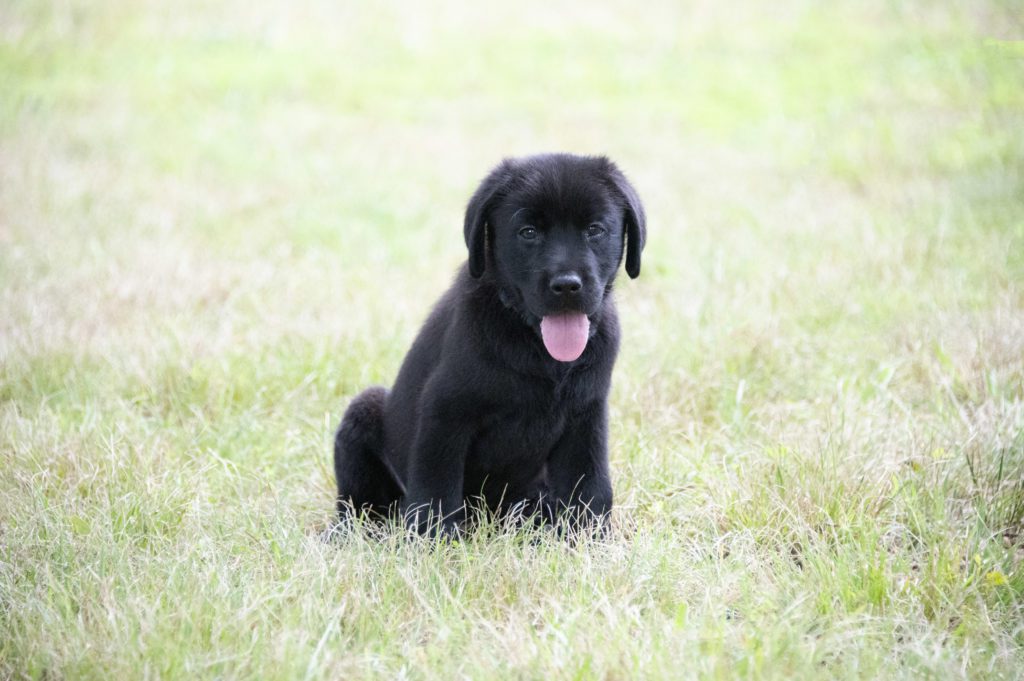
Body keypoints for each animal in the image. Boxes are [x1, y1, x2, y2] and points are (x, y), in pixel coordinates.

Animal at [331, 153, 643, 536]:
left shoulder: (586, 416)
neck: (535, 348)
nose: (567, 285)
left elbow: (590, 485)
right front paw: (433, 539)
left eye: (595, 230)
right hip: (364, 413)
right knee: (360, 505)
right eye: (528, 232)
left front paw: (588, 537)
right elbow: (436, 486)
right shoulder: (444, 413)